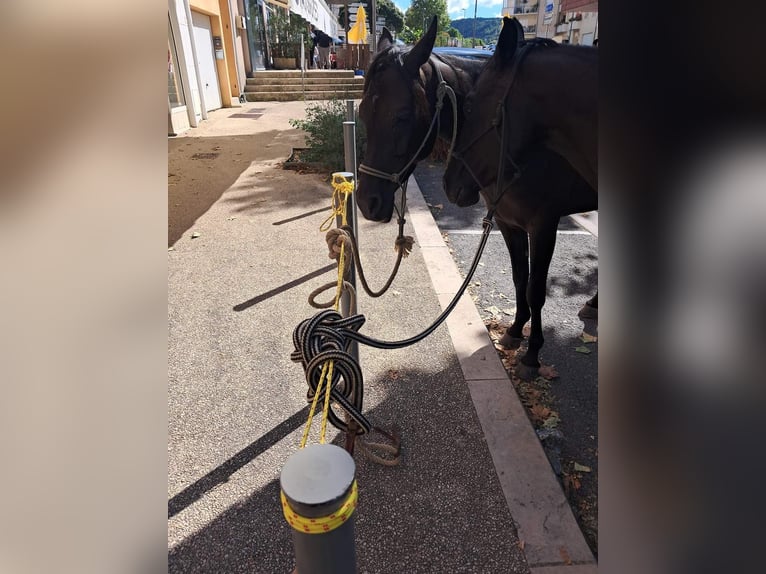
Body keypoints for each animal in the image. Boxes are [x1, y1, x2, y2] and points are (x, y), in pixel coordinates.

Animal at [360, 16, 600, 378]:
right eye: (361, 111)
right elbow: (519, 279)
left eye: (401, 116)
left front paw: (532, 354)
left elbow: (536, 289)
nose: (366, 202)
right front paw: (514, 332)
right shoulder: (507, 222)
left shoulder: (543, 226)